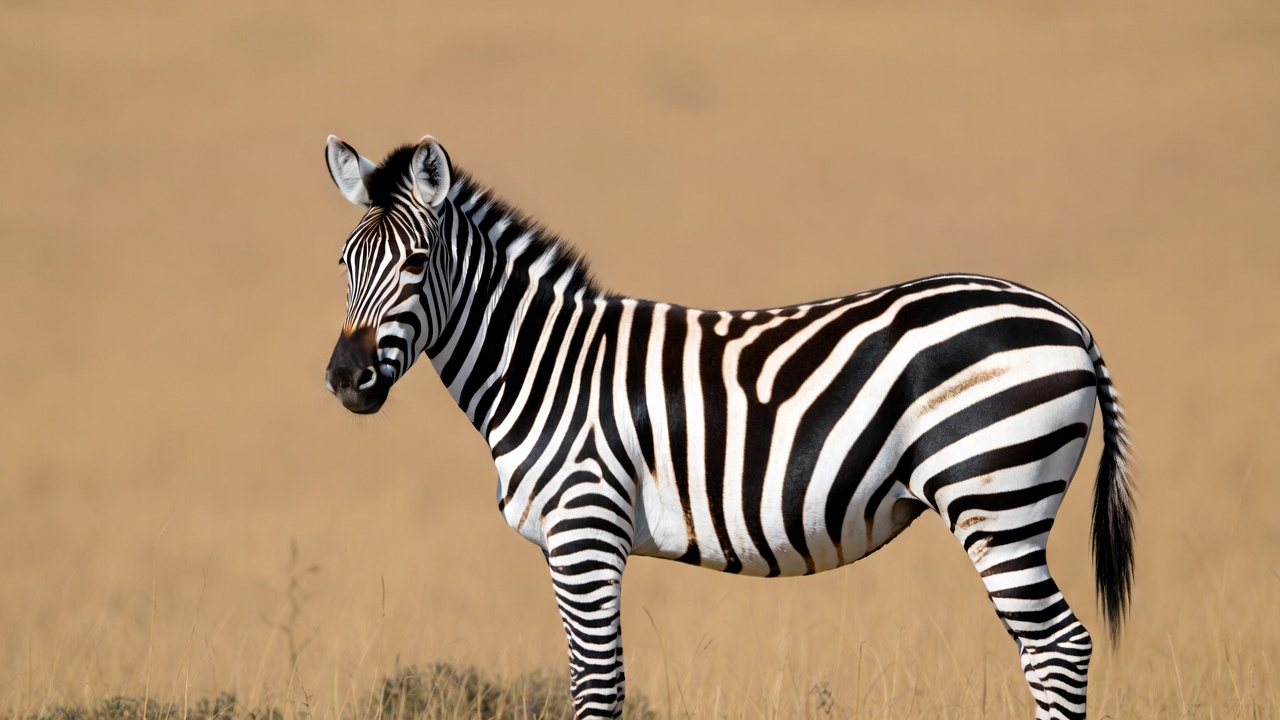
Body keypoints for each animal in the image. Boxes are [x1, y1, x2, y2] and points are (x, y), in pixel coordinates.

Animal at [322, 134, 1135, 720]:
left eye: (418, 261)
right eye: (343, 263)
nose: (345, 379)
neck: (545, 364)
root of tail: (1070, 321)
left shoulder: (585, 529)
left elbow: (597, 687)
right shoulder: (572, 540)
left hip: (995, 495)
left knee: (1059, 648)